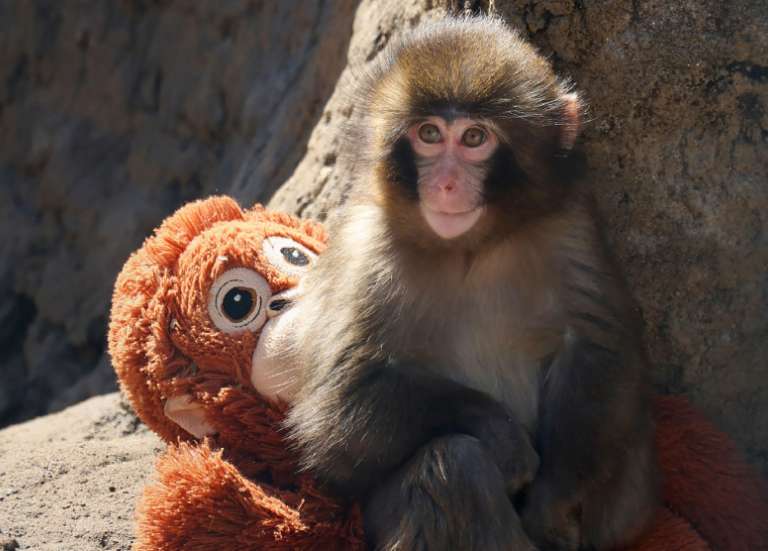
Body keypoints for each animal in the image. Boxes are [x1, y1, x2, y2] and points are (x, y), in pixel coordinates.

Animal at [283, 15, 659, 551]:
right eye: (429, 133)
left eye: (475, 138)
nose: (444, 184)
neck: (470, 248)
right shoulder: (366, 248)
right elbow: (339, 406)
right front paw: (502, 437)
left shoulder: (569, 224)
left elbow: (596, 349)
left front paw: (553, 501)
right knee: (453, 465)